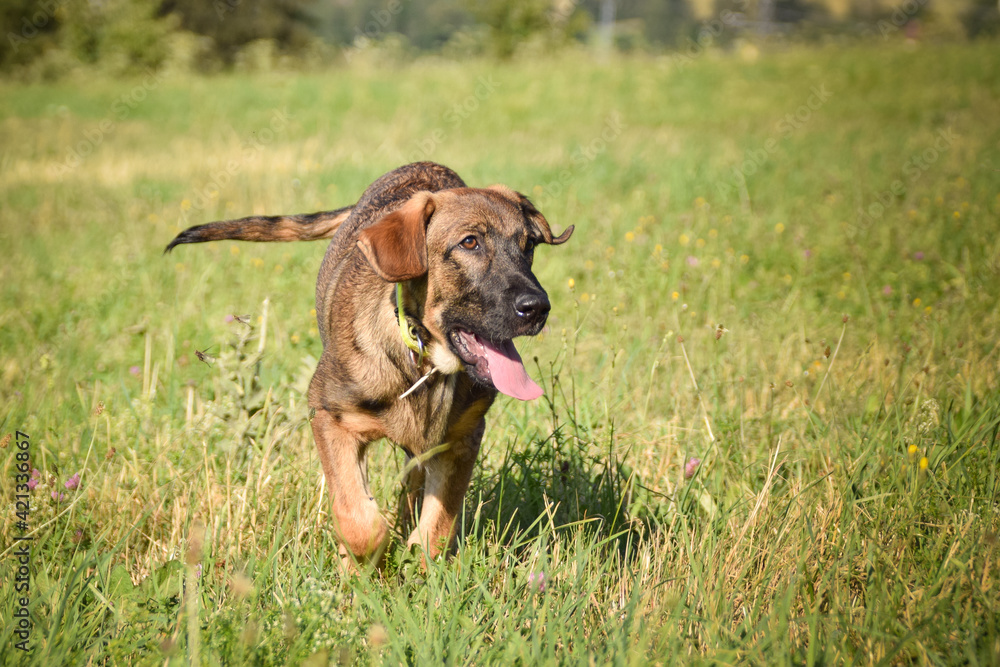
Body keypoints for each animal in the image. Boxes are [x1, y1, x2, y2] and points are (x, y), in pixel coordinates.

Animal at [168, 162, 576, 564]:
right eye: (470, 242)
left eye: (528, 245)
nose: (538, 308)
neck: (421, 362)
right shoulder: (329, 418)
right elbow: (357, 516)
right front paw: (365, 561)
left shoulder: (462, 438)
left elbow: (437, 527)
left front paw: (418, 561)